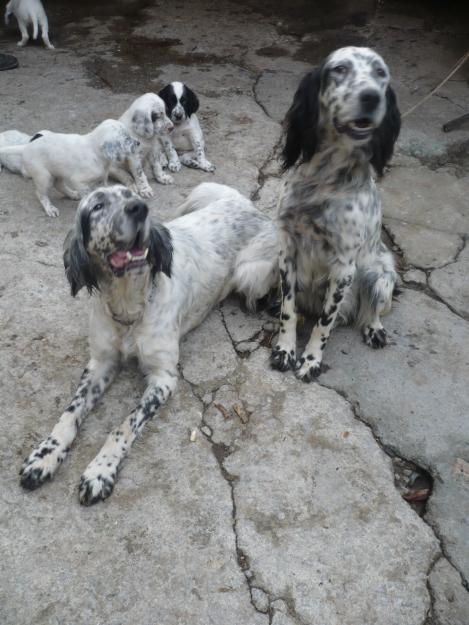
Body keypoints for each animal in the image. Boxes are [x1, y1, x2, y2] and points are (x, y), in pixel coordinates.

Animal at [0, 120, 139, 217]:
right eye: (126, 138)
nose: (138, 143)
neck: (96, 152)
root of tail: (26, 146)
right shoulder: (78, 180)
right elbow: (87, 195)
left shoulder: (102, 179)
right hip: (44, 176)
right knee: (41, 194)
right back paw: (50, 209)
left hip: (58, 172)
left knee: (59, 185)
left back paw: (72, 194)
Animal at [270, 46, 398, 380]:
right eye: (340, 69)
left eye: (381, 73)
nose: (371, 97)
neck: (325, 180)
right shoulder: (287, 250)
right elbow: (289, 311)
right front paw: (285, 350)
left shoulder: (344, 269)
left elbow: (324, 323)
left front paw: (310, 360)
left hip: (380, 273)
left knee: (371, 309)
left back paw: (374, 329)